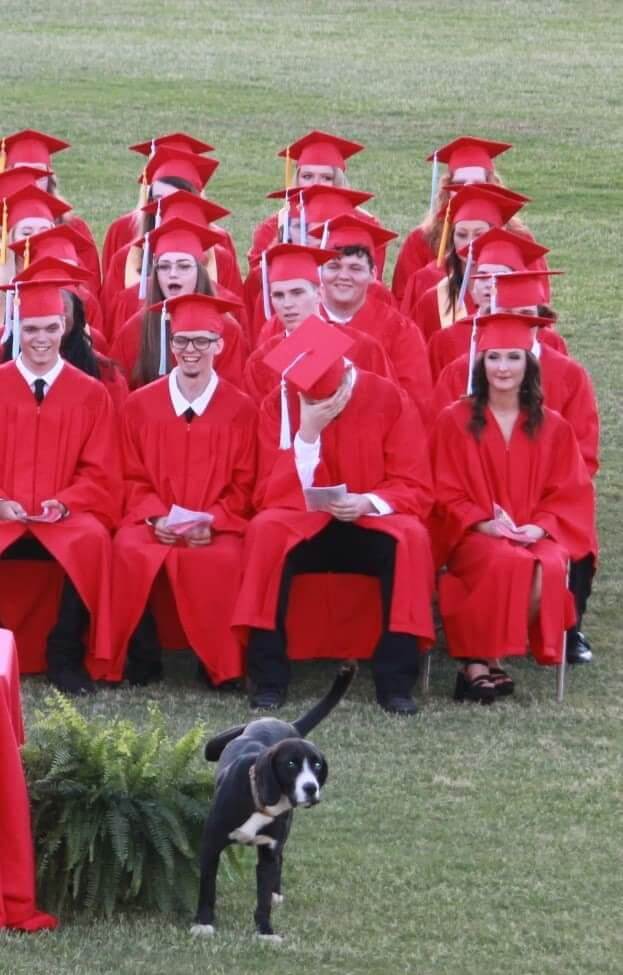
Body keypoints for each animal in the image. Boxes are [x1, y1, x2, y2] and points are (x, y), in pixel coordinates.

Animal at [191, 661, 356, 941]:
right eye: (290, 764)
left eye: (317, 765)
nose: (311, 788)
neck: (262, 802)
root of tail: (288, 724)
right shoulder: (210, 846)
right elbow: (207, 888)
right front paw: (203, 923)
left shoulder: (268, 852)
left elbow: (263, 898)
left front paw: (265, 931)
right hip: (212, 746)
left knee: (281, 860)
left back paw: (276, 893)